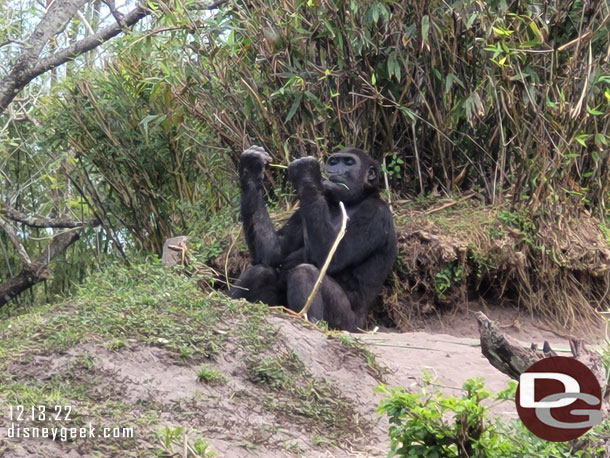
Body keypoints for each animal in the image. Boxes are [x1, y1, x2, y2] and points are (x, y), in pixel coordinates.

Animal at [228, 145, 394, 330]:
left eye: (349, 162)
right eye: (334, 161)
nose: (334, 170)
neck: (356, 199)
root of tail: (362, 327)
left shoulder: (375, 214)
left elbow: (332, 257)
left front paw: (305, 172)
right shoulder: (301, 211)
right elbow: (274, 253)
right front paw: (252, 166)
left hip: (347, 325)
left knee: (304, 272)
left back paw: (308, 320)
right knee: (261, 270)